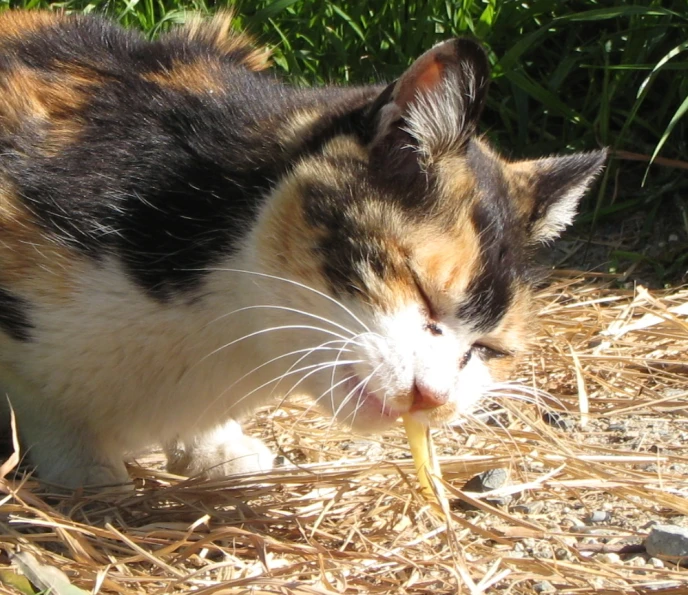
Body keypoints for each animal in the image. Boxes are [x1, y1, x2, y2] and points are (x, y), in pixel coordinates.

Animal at [0, 10, 600, 488]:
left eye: (488, 349)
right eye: (422, 291)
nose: (434, 396)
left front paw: (214, 448)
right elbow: (41, 397)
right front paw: (86, 471)